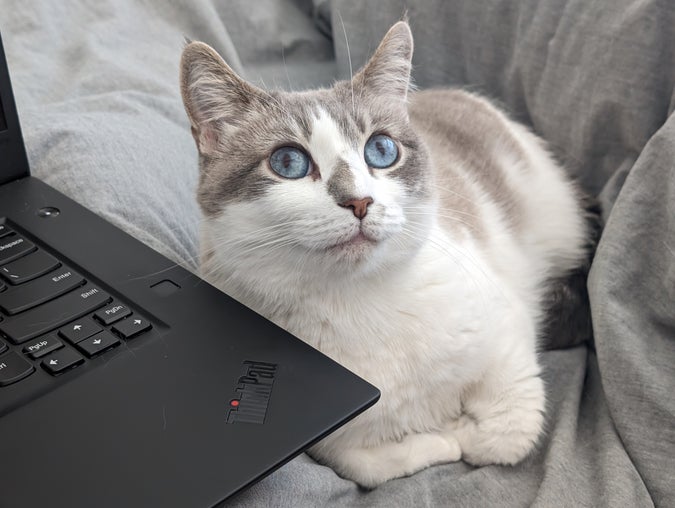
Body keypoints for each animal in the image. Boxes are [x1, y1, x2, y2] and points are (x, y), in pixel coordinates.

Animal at [178, 20, 592, 488]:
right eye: (288, 163)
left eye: (381, 150)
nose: (359, 201)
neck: (359, 303)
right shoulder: (335, 442)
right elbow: (371, 465)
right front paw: (444, 435)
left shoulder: (507, 331)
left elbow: (507, 434)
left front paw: (463, 430)